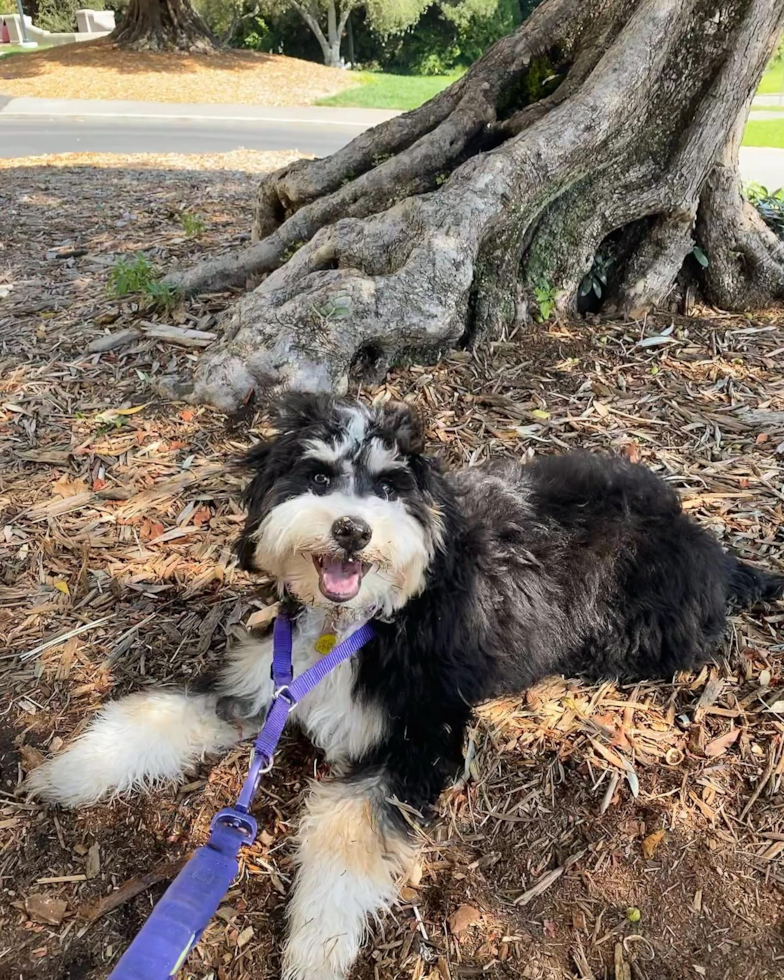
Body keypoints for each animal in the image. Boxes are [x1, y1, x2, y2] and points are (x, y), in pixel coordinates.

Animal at [26, 394, 784, 976]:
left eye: (390, 488)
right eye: (316, 477)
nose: (352, 529)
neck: (358, 622)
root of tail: (706, 543)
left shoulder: (420, 733)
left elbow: (347, 827)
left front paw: (317, 948)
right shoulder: (261, 685)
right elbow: (156, 714)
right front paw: (68, 773)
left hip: (642, 627)